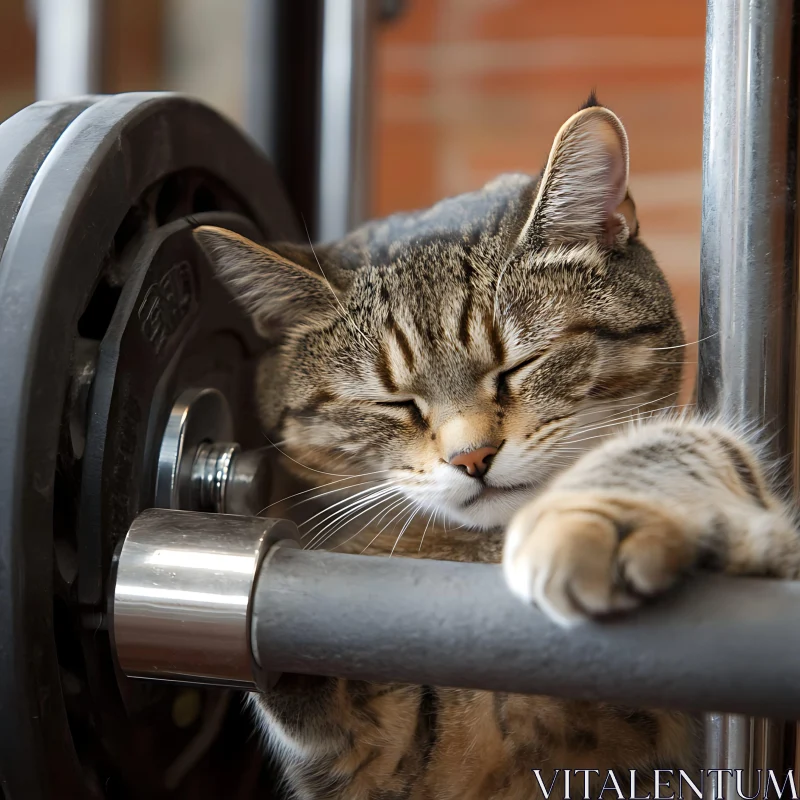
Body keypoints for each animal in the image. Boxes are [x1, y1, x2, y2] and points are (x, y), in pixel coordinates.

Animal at [195, 95, 800, 800]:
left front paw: (596, 519)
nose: (471, 458)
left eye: (517, 366)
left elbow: (680, 446)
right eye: (393, 402)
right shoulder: (384, 761)